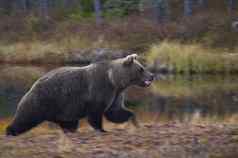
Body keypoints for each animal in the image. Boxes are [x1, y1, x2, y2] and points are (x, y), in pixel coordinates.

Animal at [6, 54, 154, 136]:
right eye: (141, 69)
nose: (152, 75)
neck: (115, 80)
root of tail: (33, 84)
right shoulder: (100, 89)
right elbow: (96, 113)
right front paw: (102, 129)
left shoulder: (116, 94)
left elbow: (115, 112)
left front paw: (135, 121)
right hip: (43, 100)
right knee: (25, 118)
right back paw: (10, 131)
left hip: (64, 110)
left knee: (69, 123)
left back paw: (69, 130)